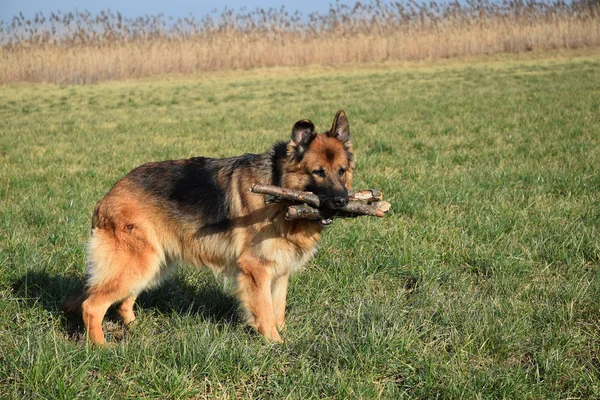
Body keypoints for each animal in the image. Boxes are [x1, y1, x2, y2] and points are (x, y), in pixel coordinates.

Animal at [64, 109, 356, 344]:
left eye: (341, 171)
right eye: (318, 172)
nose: (342, 201)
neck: (278, 183)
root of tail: (107, 197)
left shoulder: (279, 272)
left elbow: (278, 309)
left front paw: (280, 334)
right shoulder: (257, 271)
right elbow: (264, 312)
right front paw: (276, 344)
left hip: (155, 264)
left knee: (124, 301)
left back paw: (135, 328)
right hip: (138, 262)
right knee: (92, 305)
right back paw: (101, 346)